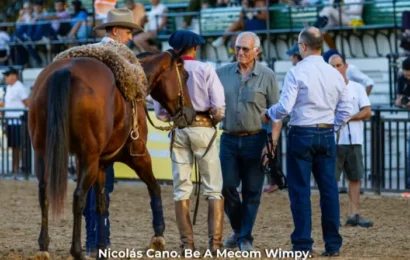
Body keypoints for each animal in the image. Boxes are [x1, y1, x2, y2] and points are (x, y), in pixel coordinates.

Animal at [28, 49, 196, 258]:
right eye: (185, 75)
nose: (191, 114)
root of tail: (65, 70)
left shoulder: (100, 164)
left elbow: (101, 204)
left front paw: (101, 247)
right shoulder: (138, 155)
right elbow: (154, 187)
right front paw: (158, 236)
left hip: (43, 154)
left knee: (44, 194)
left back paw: (43, 246)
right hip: (89, 158)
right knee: (78, 197)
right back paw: (77, 251)